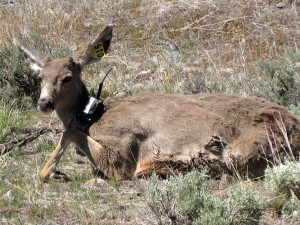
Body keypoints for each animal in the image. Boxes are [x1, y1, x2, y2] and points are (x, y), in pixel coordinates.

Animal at [14, 25, 300, 183]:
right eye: (40, 77)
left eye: (67, 77)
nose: (44, 103)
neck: (95, 114)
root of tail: (294, 128)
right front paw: (54, 172)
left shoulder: (121, 156)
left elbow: (70, 133)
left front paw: (50, 172)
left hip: (247, 148)